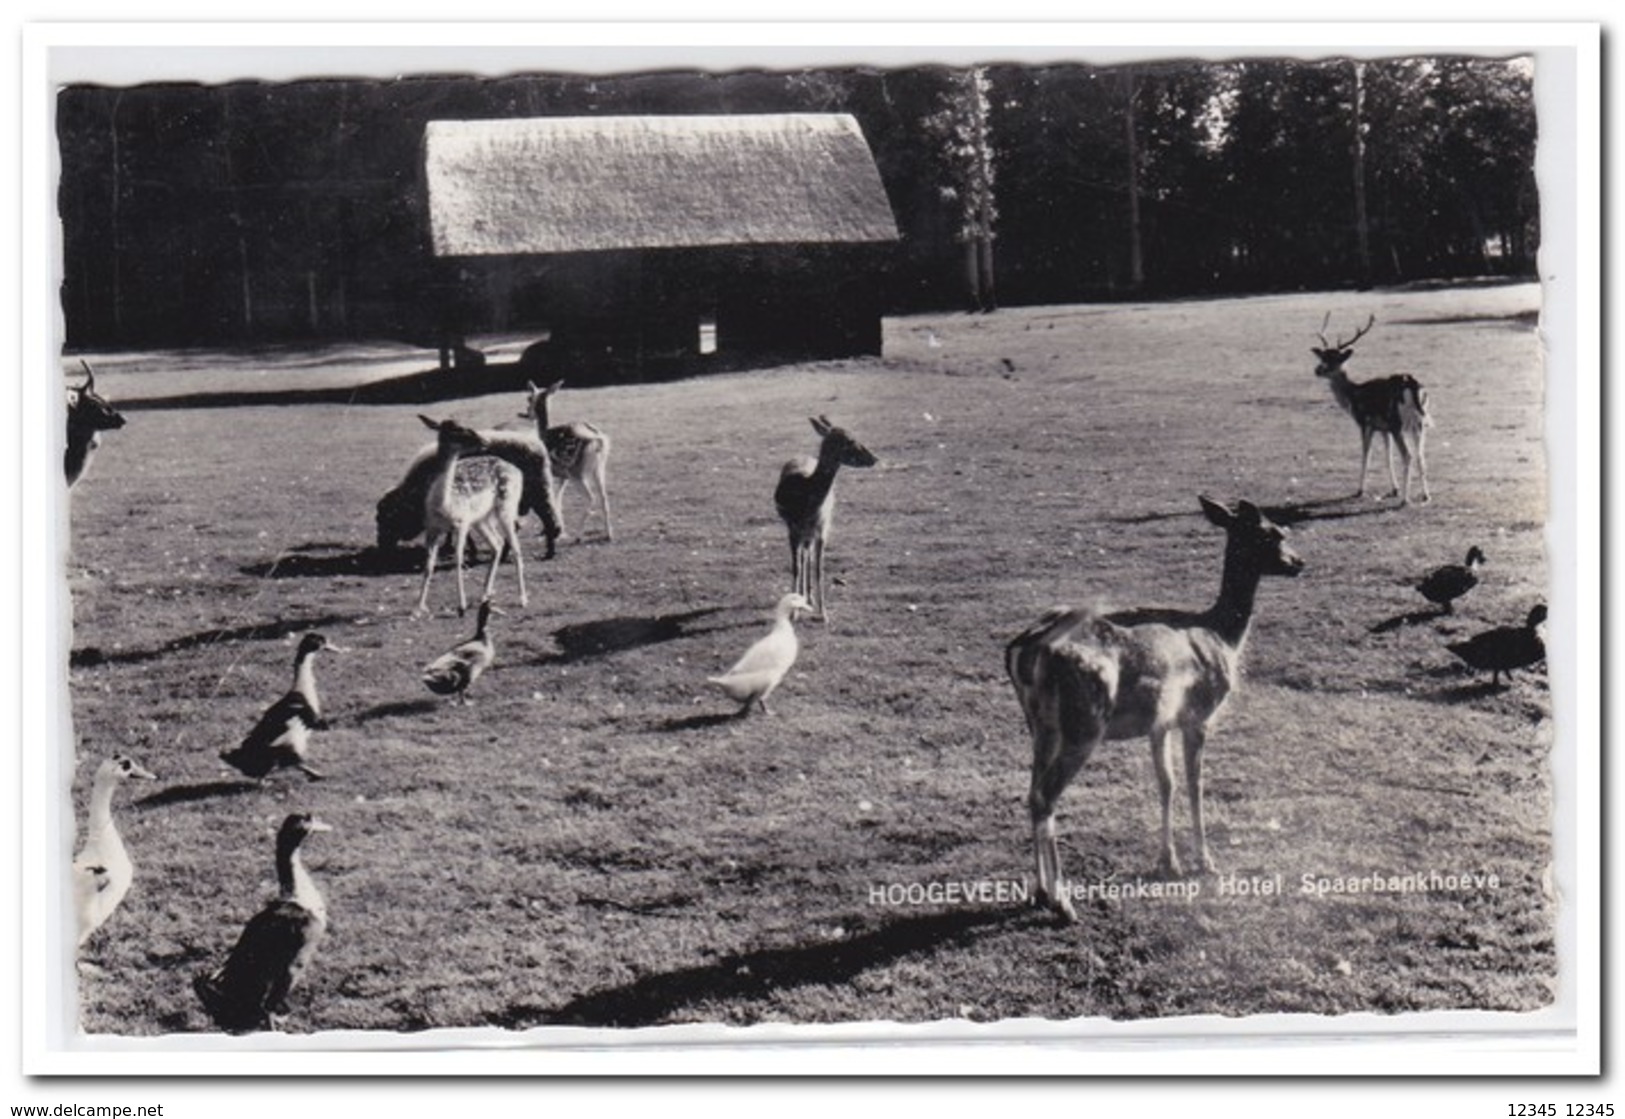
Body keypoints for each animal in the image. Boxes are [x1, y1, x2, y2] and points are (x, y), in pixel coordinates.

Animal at [412, 414, 526, 613]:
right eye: (456, 429)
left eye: (464, 424)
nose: (484, 440)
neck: (444, 506)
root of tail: (518, 471)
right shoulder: (431, 528)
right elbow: (428, 565)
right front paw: (420, 607)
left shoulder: (462, 522)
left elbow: (458, 559)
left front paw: (461, 605)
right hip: (482, 519)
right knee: (497, 543)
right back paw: (485, 594)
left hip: (507, 507)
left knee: (516, 547)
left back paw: (523, 599)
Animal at [520, 380, 614, 542]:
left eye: (529, 398)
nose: (527, 413)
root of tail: (598, 439)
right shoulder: (563, 476)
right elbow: (558, 500)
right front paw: (559, 531)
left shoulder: (551, 473)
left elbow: (552, 499)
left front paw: (553, 532)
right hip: (598, 469)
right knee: (604, 497)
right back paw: (609, 534)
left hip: (577, 472)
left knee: (591, 497)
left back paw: (578, 536)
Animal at [773, 414, 877, 620]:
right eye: (849, 441)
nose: (874, 458)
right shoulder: (792, 528)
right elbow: (796, 567)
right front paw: (794, 613)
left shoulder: (822, 528)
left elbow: (819, 569)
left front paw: (824, 613)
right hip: (800, 531)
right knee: (803, 556)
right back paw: (802, 597)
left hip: (813, 532)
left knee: (808, 555)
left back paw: (809, 597)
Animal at [1001, 496, 1306, 915]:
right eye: (1272, 532)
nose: (1298, 562)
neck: (1223, 635)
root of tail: (1025, 649)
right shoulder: (1198, 715)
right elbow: (1195, 783)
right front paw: (1204, 861)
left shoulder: (1159, 723)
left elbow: (1167, 783)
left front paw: (1168, 861)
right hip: (1085, 721)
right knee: (1046, 795)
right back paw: (1063, 901)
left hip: (1040, 725)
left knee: (1032, 792)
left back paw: (1040, 891)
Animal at [1306, 315, 1436, 506]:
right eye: (1322, 356)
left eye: (1337, 358)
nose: (1317, 370)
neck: (1352, 396)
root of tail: (1413, 385)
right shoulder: (1383, 429)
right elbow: (1387, 456)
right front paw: (1394, 489)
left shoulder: (1365, 422)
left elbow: (1365, 454)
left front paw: (1359, 490)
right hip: (1419, 424)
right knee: (1420, 455)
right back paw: (1426, 496)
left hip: (1397, 423)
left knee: (1408, 455)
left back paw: (1405, 500)